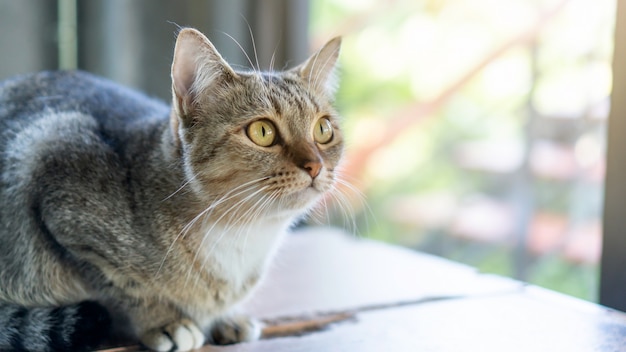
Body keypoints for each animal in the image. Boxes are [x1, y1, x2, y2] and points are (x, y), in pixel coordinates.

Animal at [0, 28, 342, 352]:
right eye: (262, 131)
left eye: (323, 129)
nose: (315, 166)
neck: (241, 235)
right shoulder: (59, 182)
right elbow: (125, 289)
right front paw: (164, 321)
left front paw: (226, 317)